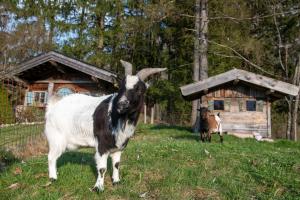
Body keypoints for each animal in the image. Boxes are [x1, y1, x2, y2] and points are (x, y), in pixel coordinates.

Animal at [44, 60, 166, 191]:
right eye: (121, 88)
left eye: (139, 90)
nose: (121, 104)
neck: (119, 119)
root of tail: (53, 106)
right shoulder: (102, 145)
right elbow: (102, 168)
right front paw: (98, 187)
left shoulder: (119, 147)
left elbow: (116, 164)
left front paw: (116, 181)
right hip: (56, 138)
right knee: (51, 157)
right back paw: (53, 178)